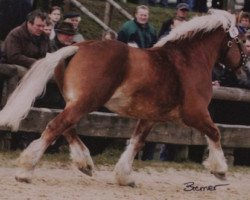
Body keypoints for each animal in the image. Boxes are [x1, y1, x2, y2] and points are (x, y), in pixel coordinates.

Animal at [0, 9, 246, 184]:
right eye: (243, 40)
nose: (243, 70)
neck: (189, 59)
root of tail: (77, 47)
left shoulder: (150, 117)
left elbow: (136, 142)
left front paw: (124, 176)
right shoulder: (195, 113)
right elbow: (215, 133)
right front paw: (220, 170)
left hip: (74, 101)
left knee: (65, 128)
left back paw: (84, 164)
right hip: (85, 102)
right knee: (55, 126)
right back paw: (25, 171)